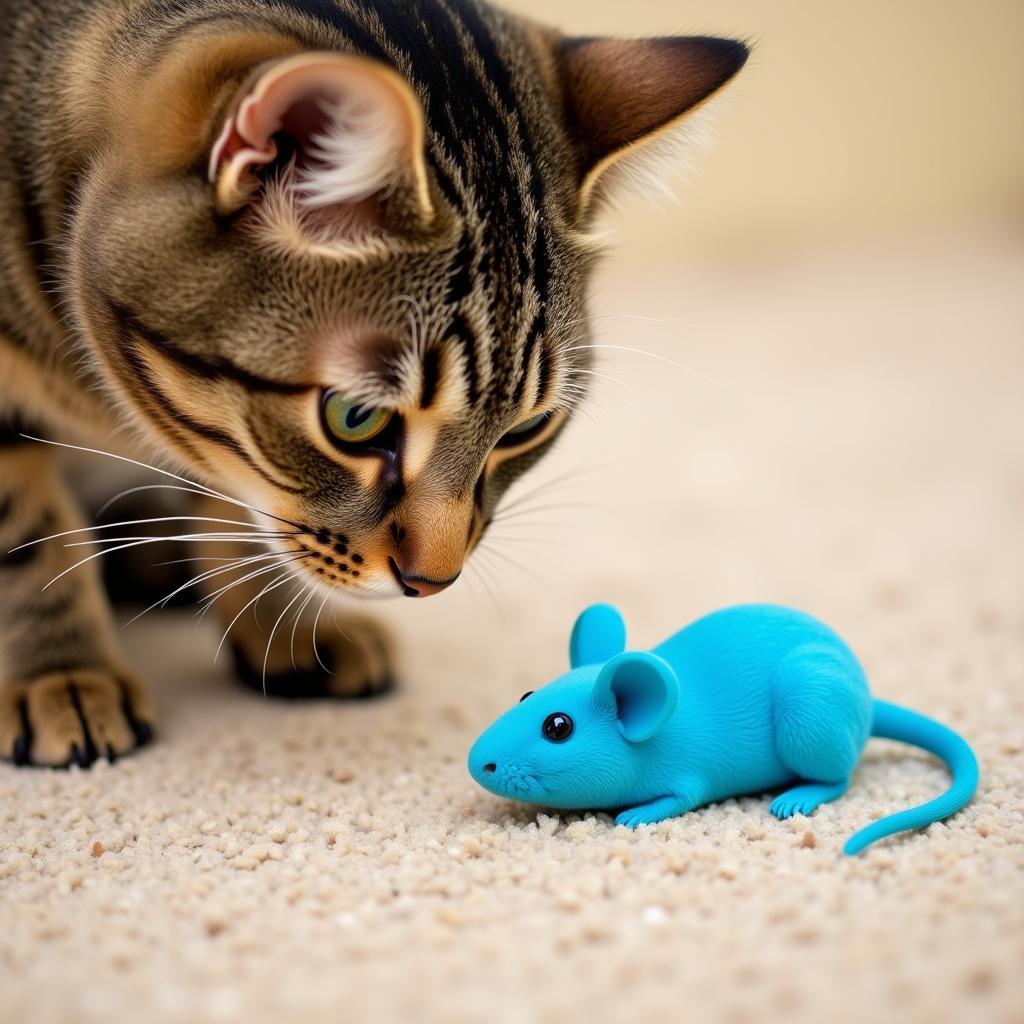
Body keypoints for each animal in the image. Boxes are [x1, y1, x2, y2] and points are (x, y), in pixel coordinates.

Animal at [0, 0, 749, 770]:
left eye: (524, 429)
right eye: (355, 418)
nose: (434, 582)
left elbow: (231, 497)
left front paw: (280, 624)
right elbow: (28, 539)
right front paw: (63, 672)